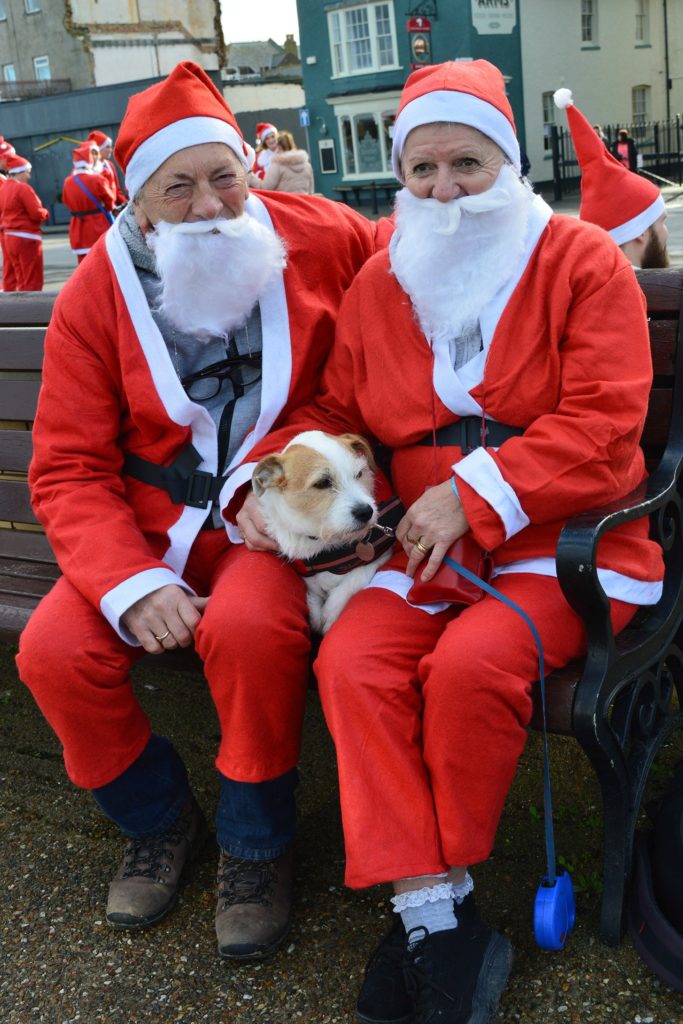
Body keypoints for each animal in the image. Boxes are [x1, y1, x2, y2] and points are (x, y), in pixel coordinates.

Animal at [250, 430, 393, 630]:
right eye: (323, 483)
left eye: (359, 473)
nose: (366, 512)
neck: (326, 537)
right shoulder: (309, 577)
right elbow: (313, 598)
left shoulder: (382, 554)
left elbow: (353, 580)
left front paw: (331, 612)